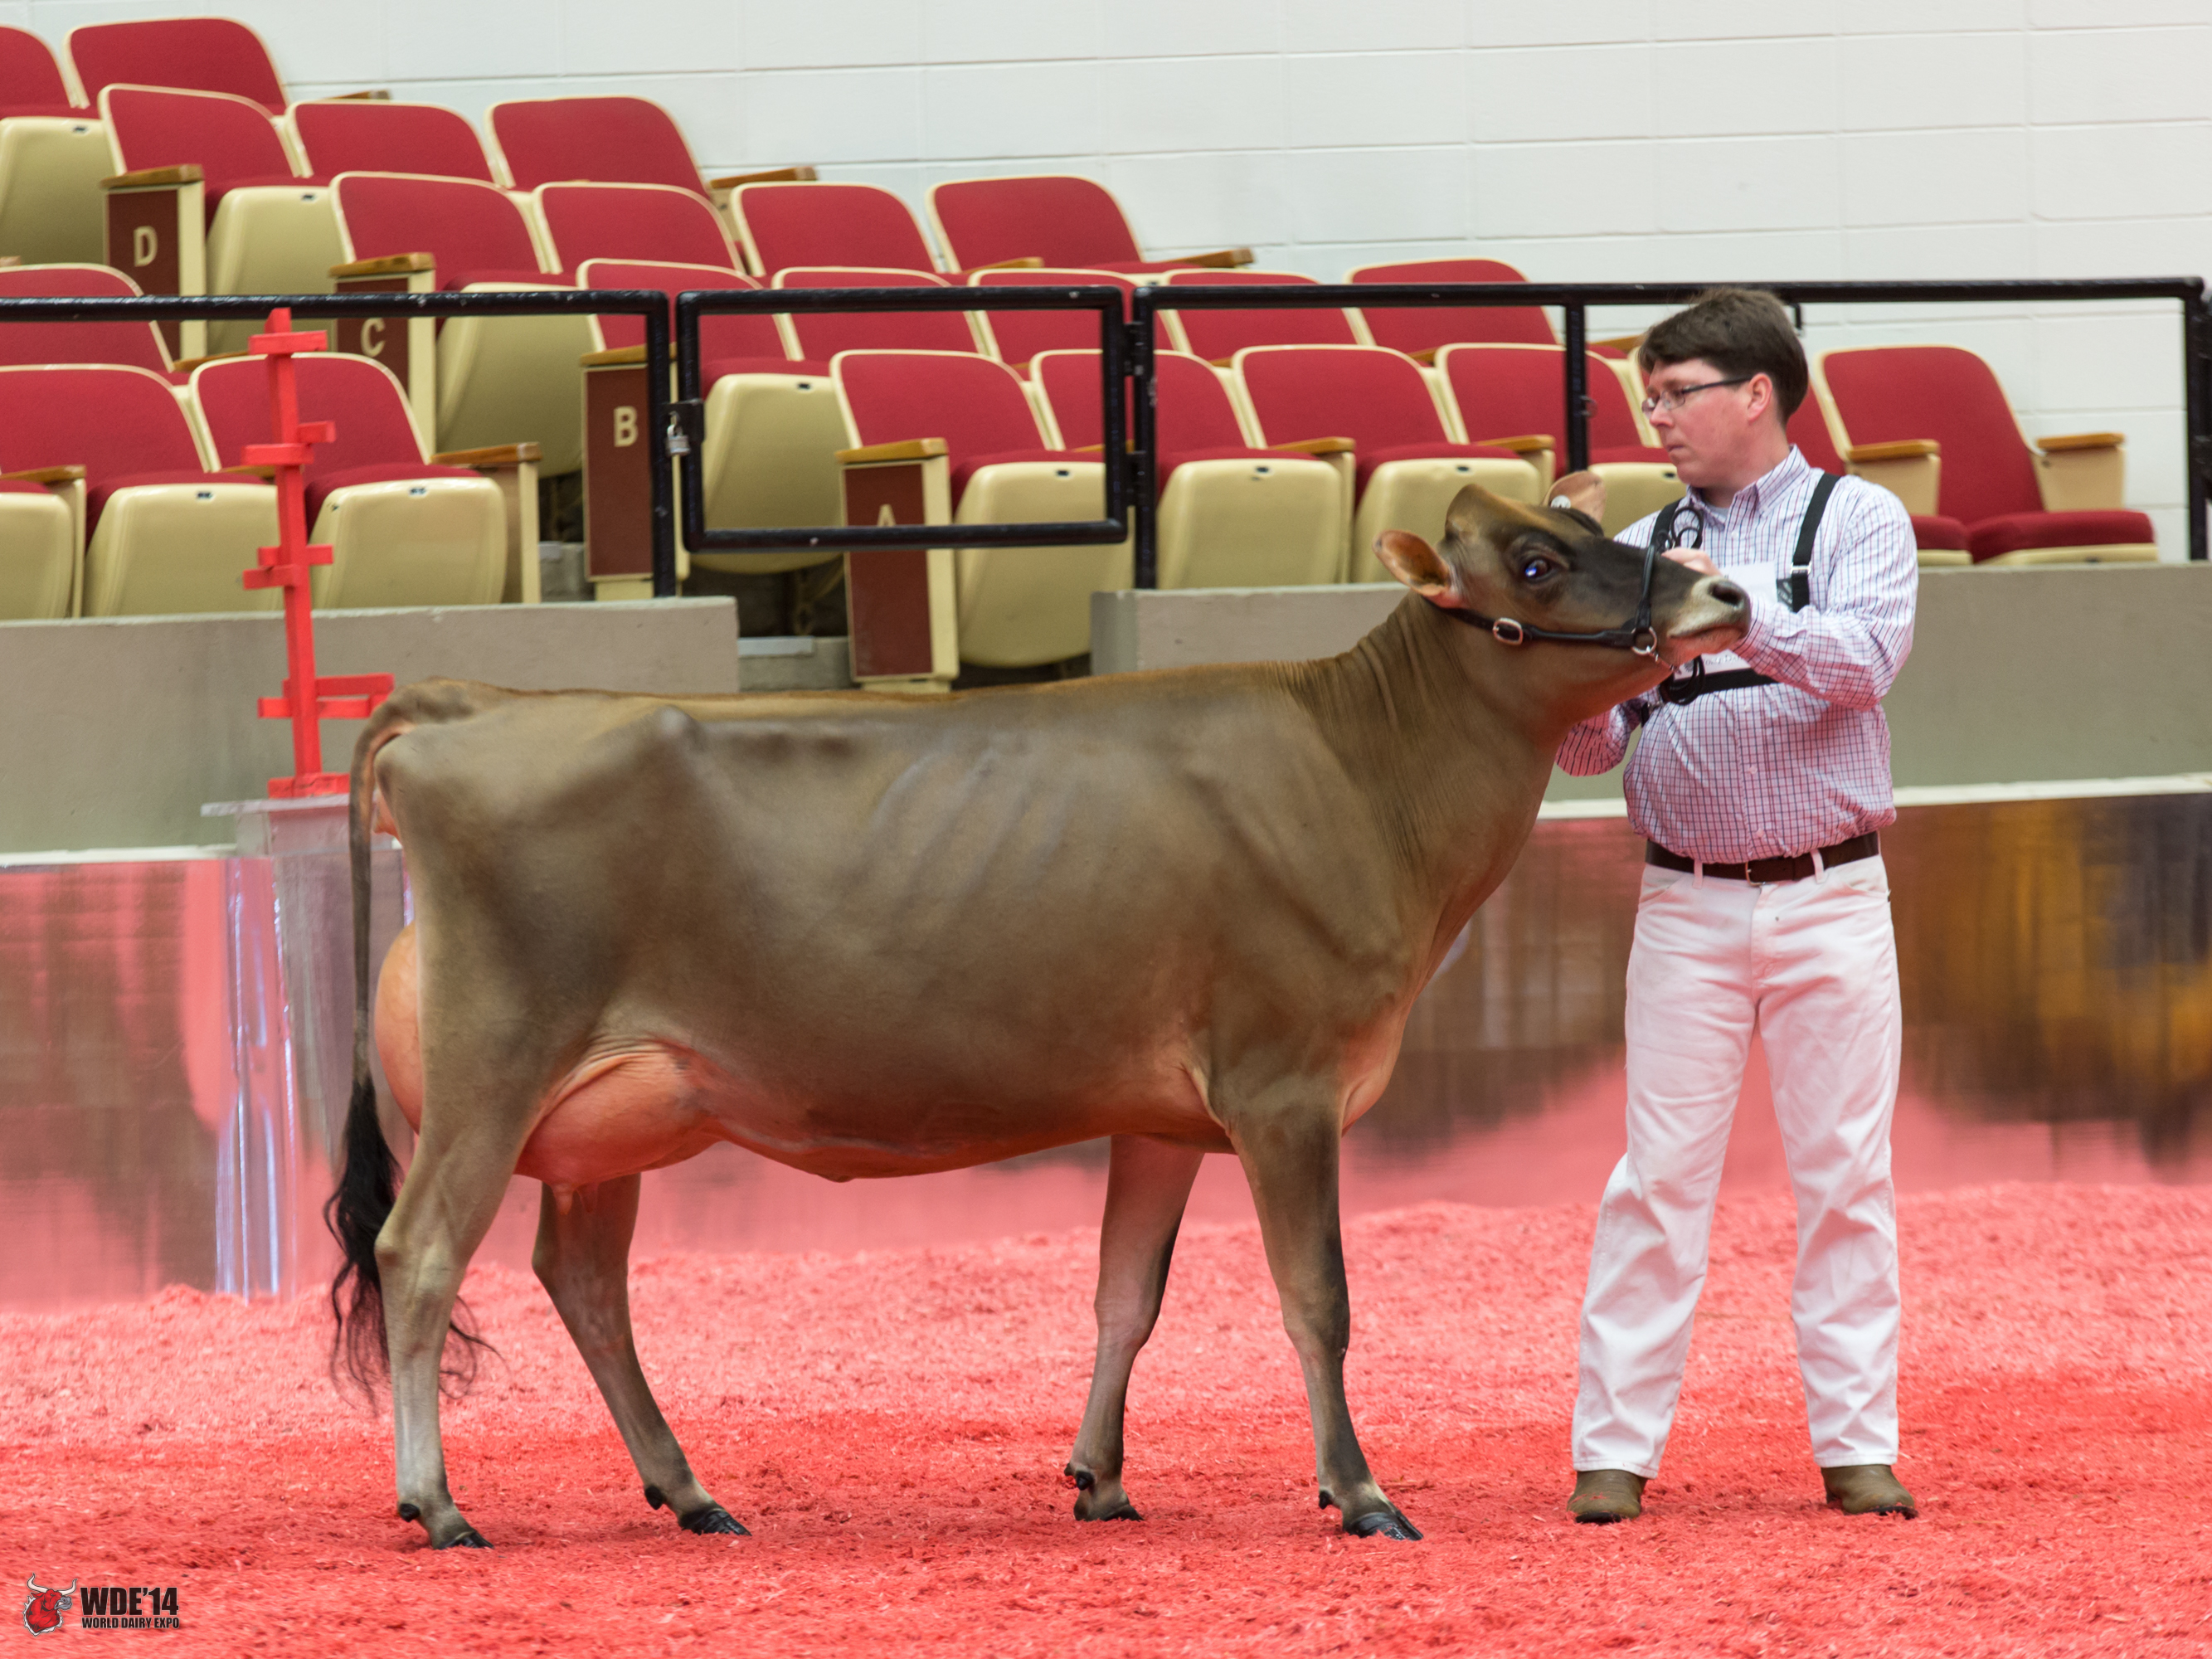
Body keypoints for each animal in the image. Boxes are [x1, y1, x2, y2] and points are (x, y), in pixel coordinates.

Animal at [327, 477, 1750, 1550]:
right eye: (1536, 561)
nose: (1724, 592)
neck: (1361, 771)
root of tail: (466, 704)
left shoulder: (1167, 1115)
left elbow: (1126, 1294)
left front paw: (1098, 1477)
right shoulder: (1283, 1087)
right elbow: (1317, 1297)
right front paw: (1358, 1493)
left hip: (609, 1110)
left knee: (583, 1280)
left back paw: (688, 1490)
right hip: (495, 1063)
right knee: (419, 1252)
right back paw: (436, 1503)